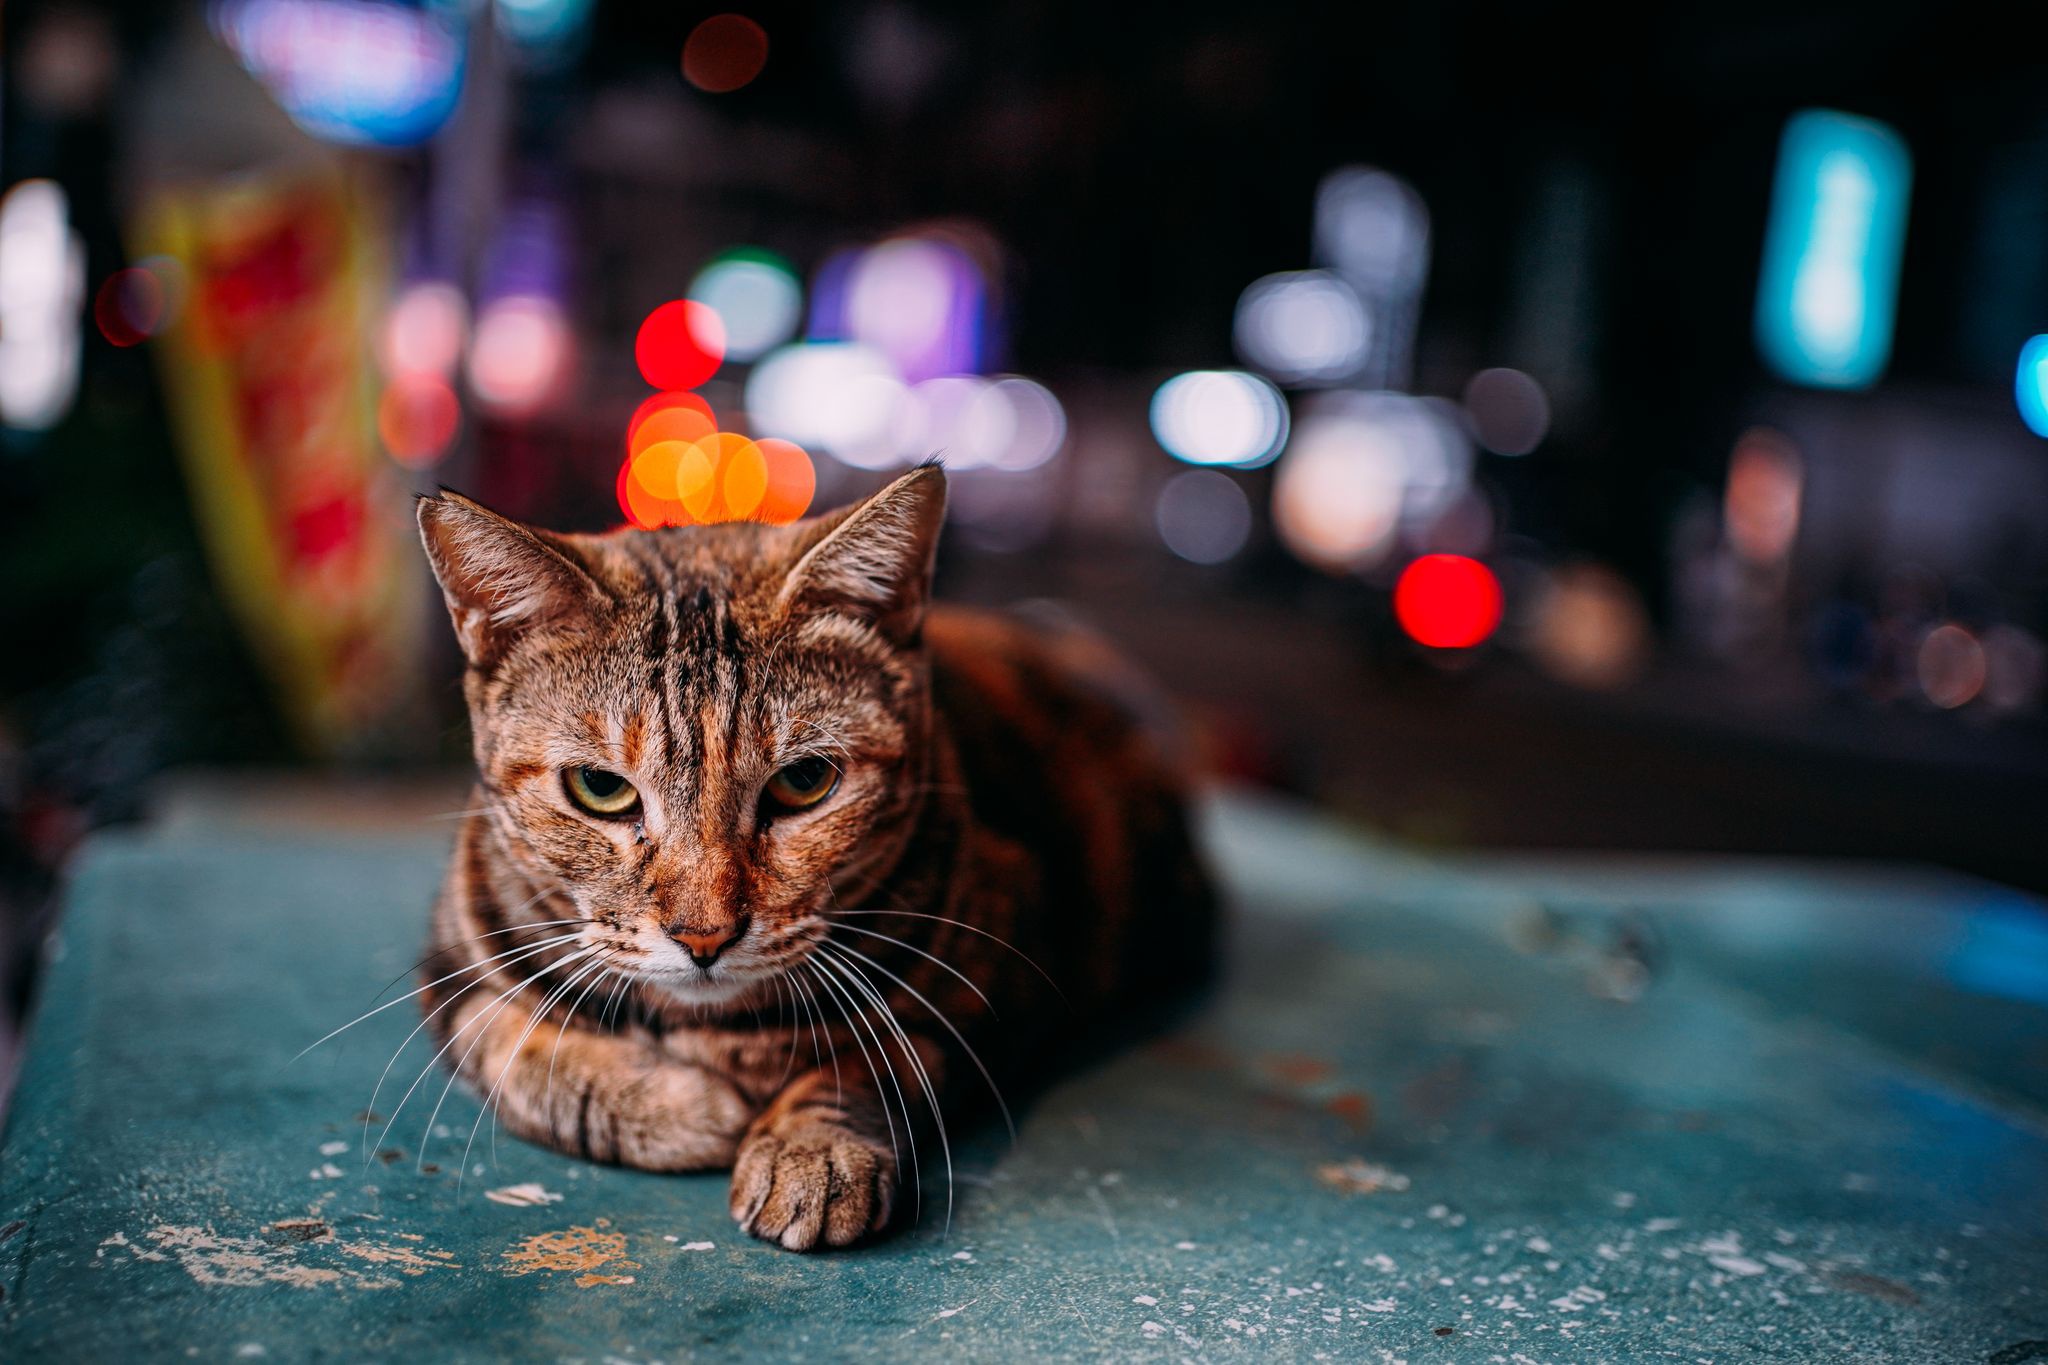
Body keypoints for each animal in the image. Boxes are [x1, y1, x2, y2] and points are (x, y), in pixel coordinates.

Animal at [415, 466, 1212, 1252]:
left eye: (803, 781)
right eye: (601, 788)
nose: (704, 936)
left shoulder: (989, 992)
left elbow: (873, 1058)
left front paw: (812, 1152)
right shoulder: (453, 979)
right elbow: (521, 1055)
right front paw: (686, 1107)